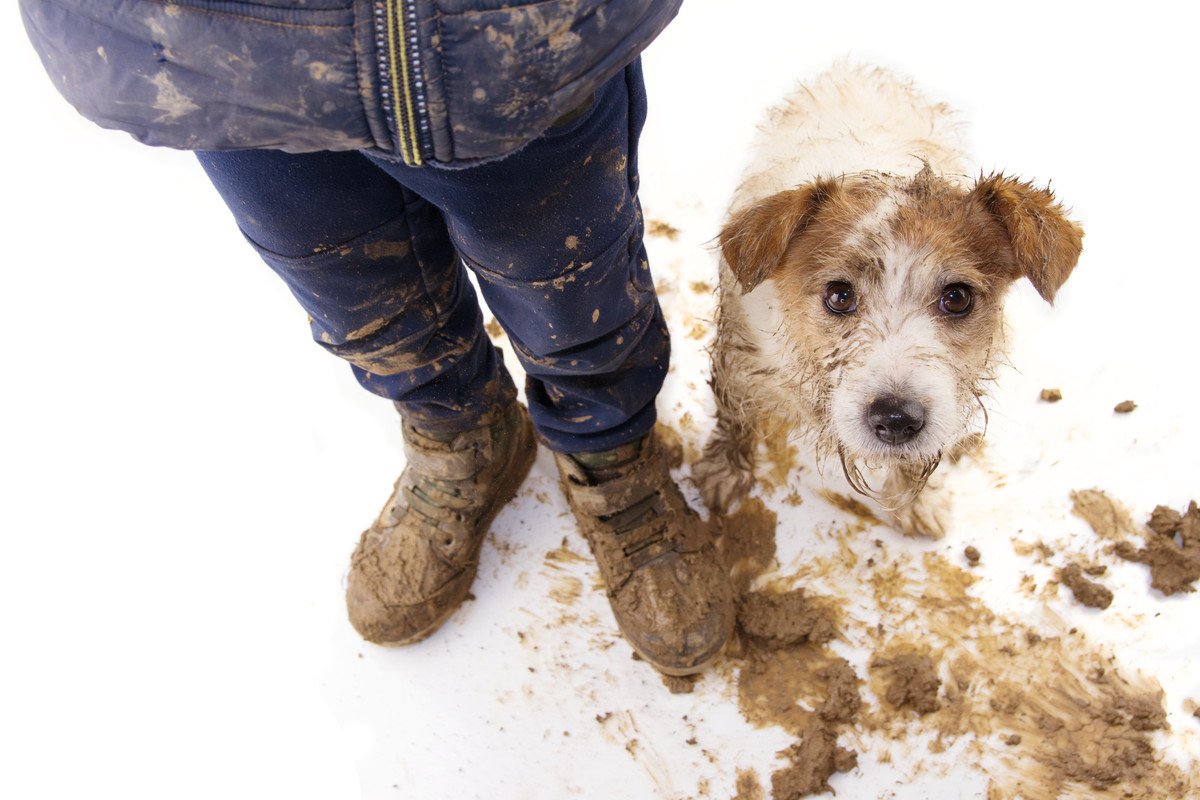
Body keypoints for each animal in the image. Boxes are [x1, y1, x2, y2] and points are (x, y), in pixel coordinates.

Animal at [691, 64, 1084, 537]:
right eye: (839, 295)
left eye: (957, 298)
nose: (896, 419)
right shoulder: (743, 360)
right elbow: (736, 419)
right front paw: (724, 474)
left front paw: (919, 503)